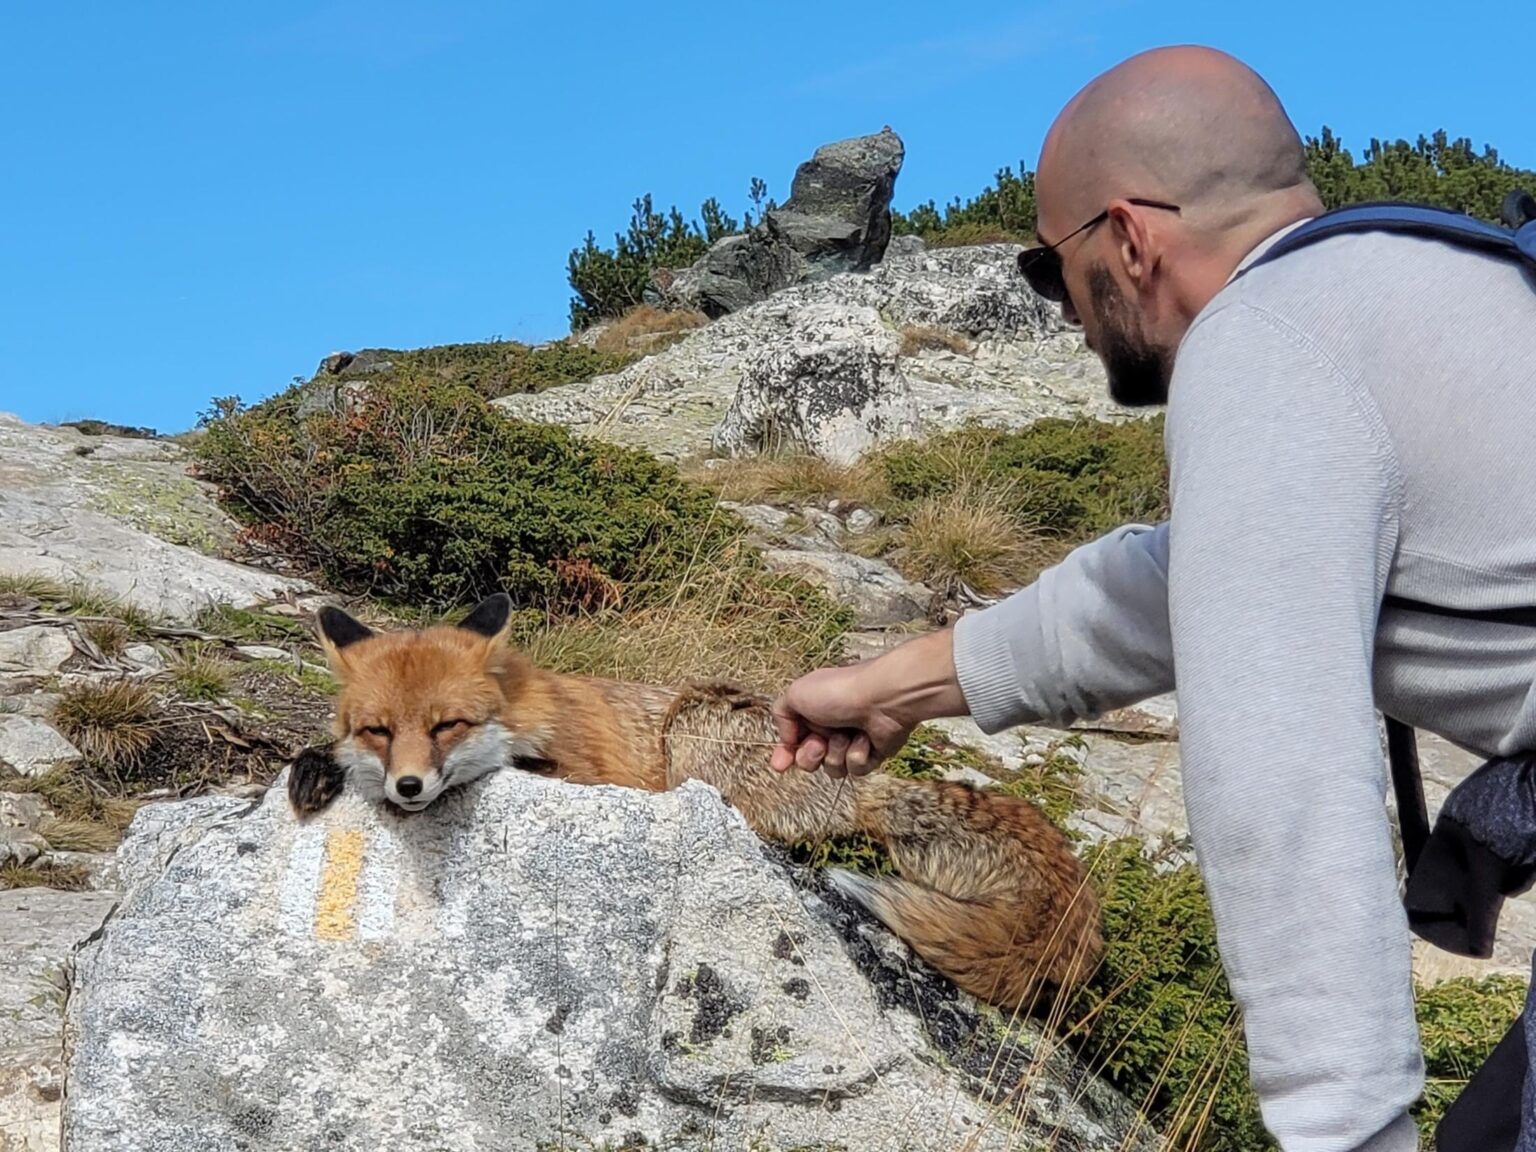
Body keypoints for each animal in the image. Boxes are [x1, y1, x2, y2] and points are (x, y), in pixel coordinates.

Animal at [290, 592, 1105, 1012]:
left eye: (446, 726)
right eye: (378, 730)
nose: (407, 787)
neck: (524, 709)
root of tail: (865, 780)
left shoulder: (596, 770)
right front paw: (315, 768)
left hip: (695, 723)